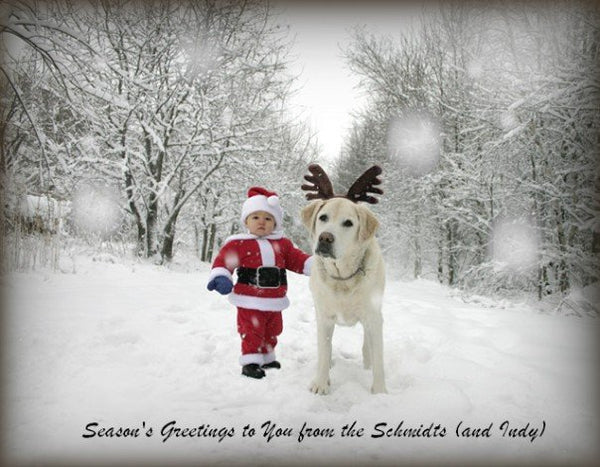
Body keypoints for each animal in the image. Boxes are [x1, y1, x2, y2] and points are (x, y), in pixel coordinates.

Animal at [302, 165, 386, 394]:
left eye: (348, 223)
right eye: (323, 217)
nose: (325, 238)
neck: (342, 277)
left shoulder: (373, 316)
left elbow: (378, 358)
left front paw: (380, 392)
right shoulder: (324, 316)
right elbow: (324, 350)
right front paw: (321, 384)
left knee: (368, 345)